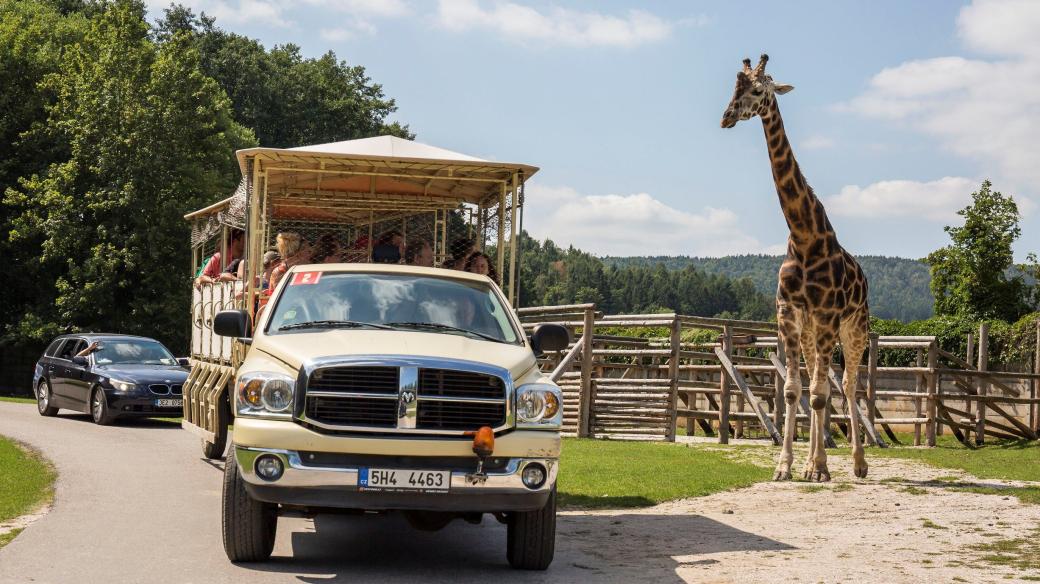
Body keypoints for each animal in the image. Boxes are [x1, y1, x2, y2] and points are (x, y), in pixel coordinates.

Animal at [719, 54, 865, 480]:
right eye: (733, 87)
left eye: (758, 89)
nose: (726, 117)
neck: (803, 236)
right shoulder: (788, 313)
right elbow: (792, 392)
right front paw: (787, 466)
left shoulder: (829, 315)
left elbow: (817, 395)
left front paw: (819, 468)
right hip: (814, 331)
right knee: (823, 388)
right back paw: (815, 463)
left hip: (853, 327)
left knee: (848, 385)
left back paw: (857, 464)